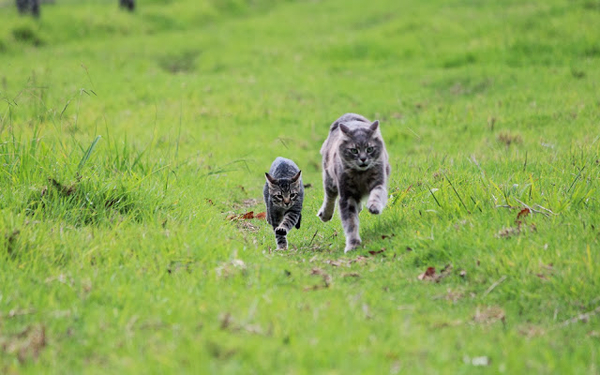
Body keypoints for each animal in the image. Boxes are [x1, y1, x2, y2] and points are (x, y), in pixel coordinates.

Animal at [316, 111, 392, 253]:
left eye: (369, 149)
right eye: (354, 150)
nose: (363, 159)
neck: (360, 175)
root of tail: (348, 115)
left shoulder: (379, 183)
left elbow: (377, 195)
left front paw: (373, 206)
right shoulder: (346, 197)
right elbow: (351, 223)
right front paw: (353, 244)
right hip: (329, 179)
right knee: (329, 197)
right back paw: (326, 214)